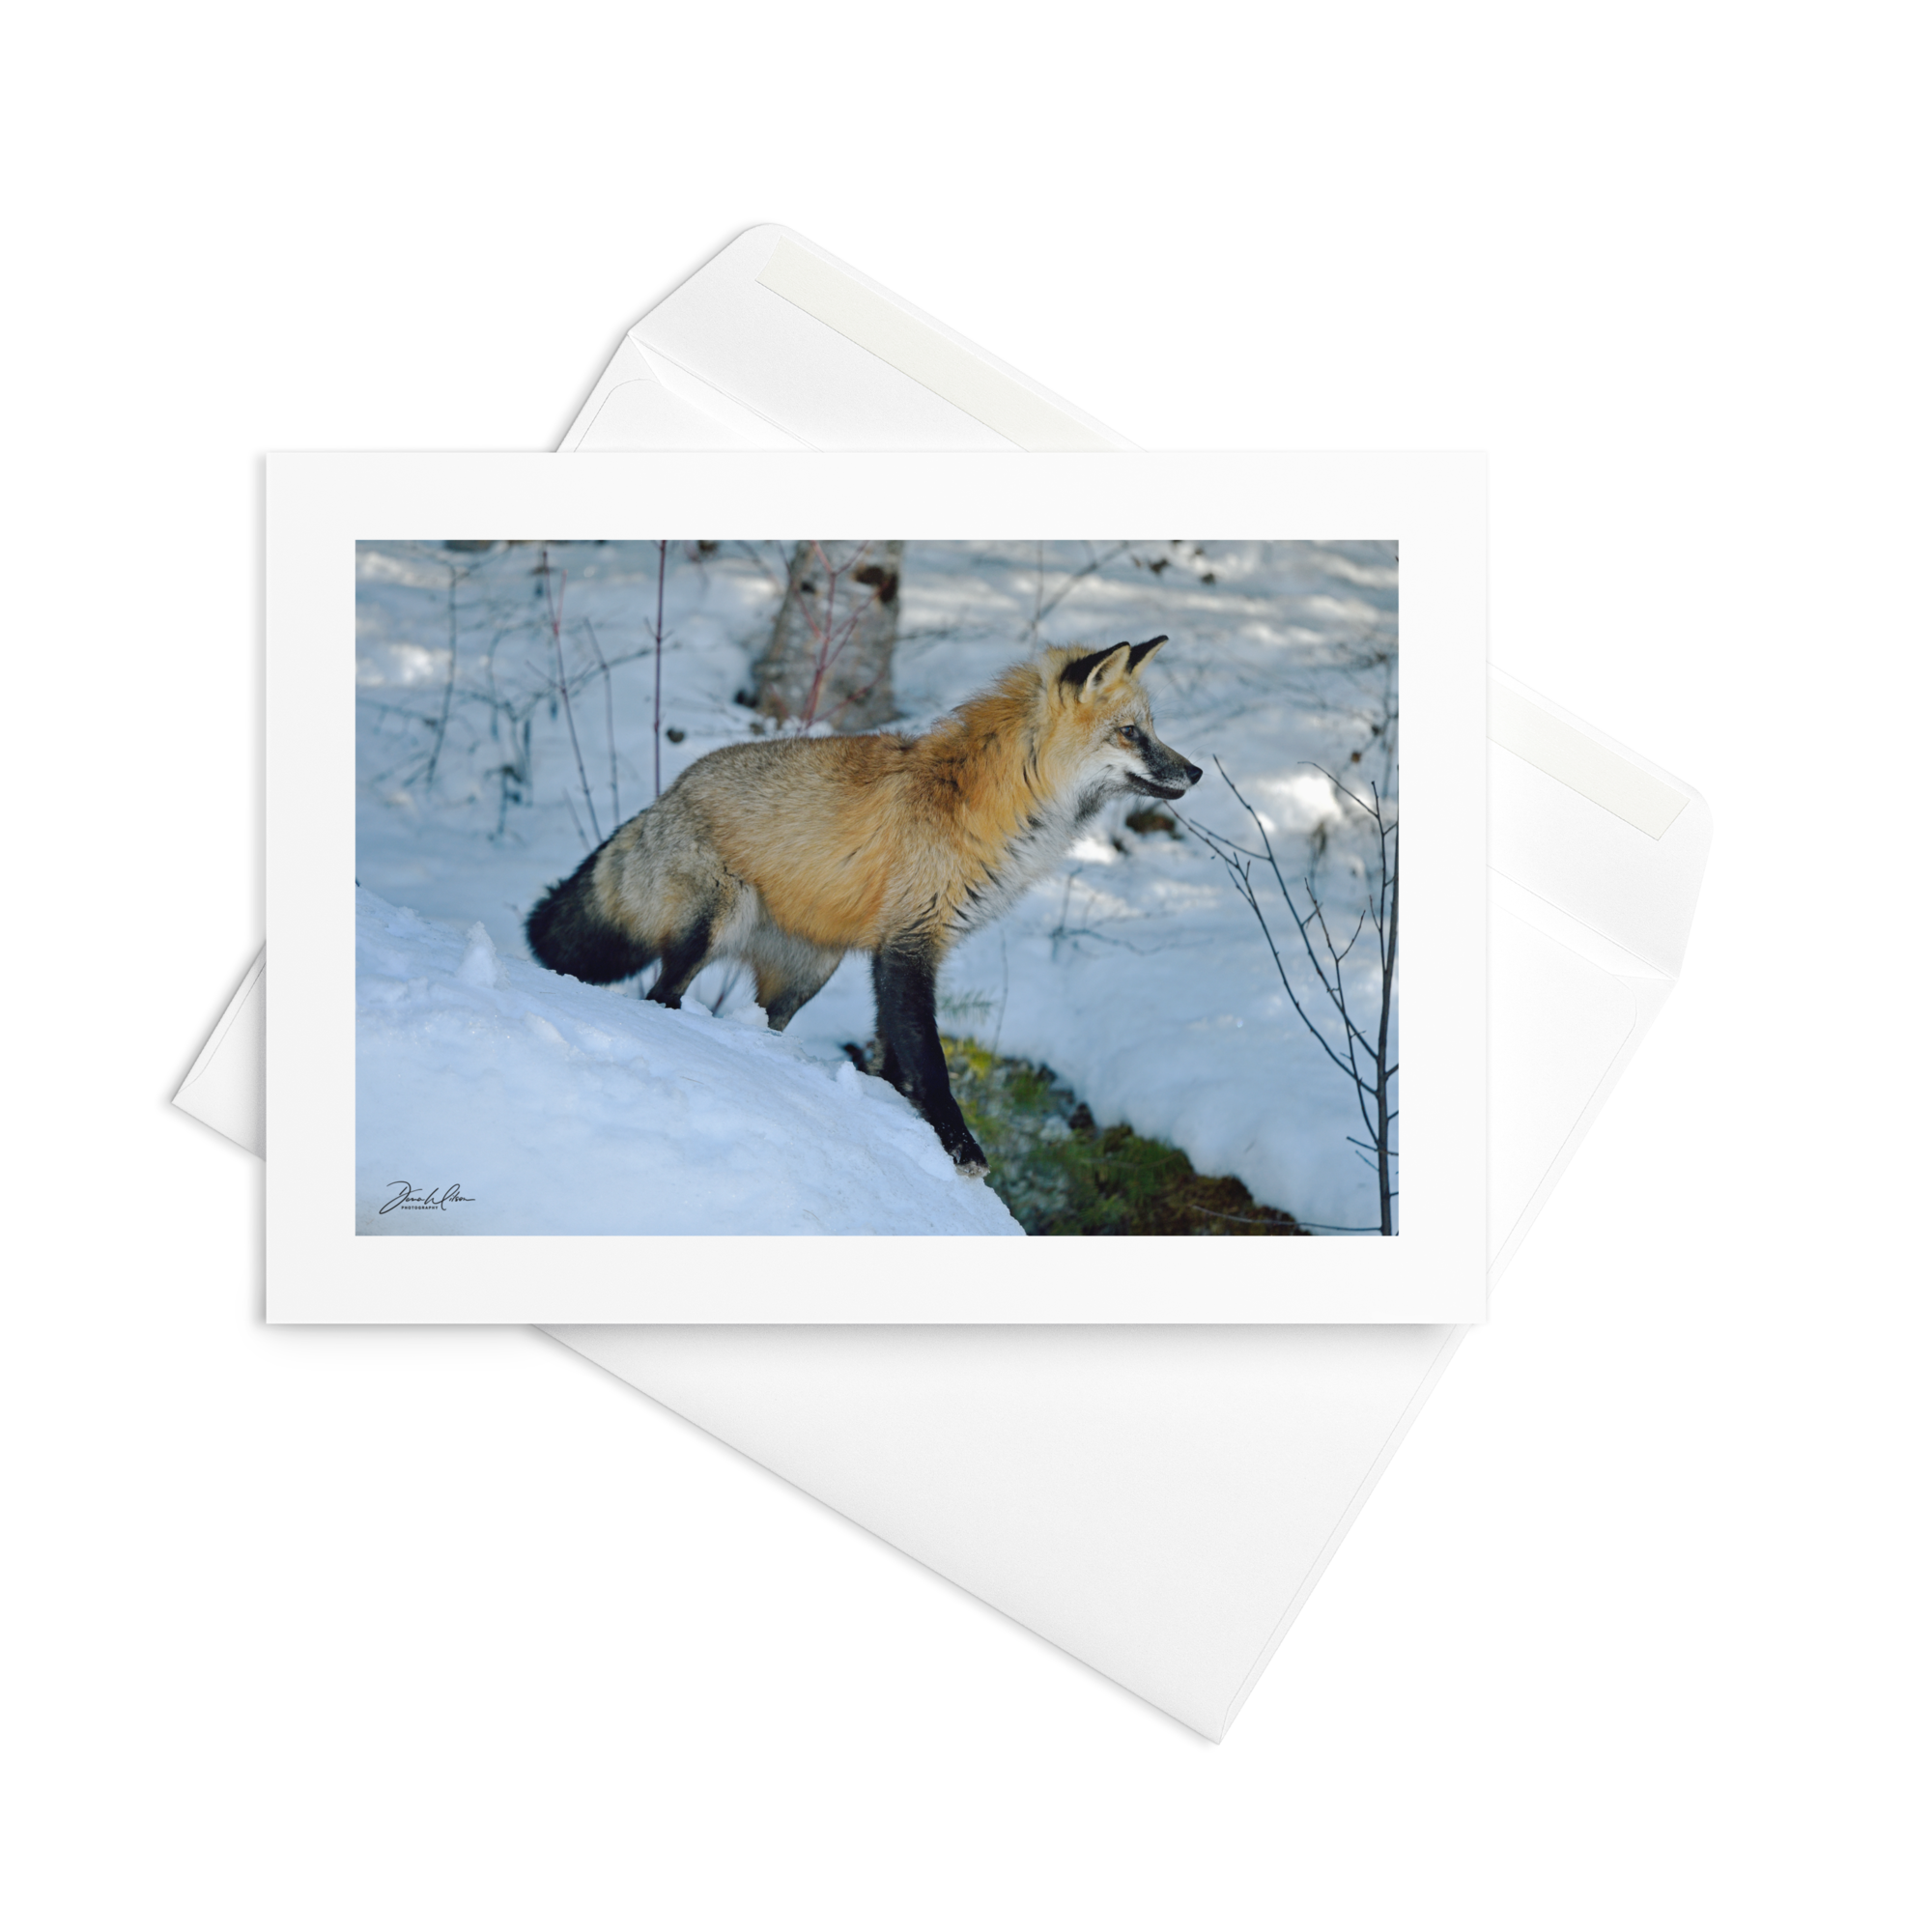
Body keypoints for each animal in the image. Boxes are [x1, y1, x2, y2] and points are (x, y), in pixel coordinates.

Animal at [524, 636, 1201, 1177]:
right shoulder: (910, 939)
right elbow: (930, 1062)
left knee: (761, 1019)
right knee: (659, 994)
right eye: (1131, 733)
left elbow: (895, 1058)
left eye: (1151, 727)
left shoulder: (904, 947)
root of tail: (666, 794)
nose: (1195, 772)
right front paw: (959, 1148)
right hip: (712, 926)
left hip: (804, 977)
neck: (998, 806)